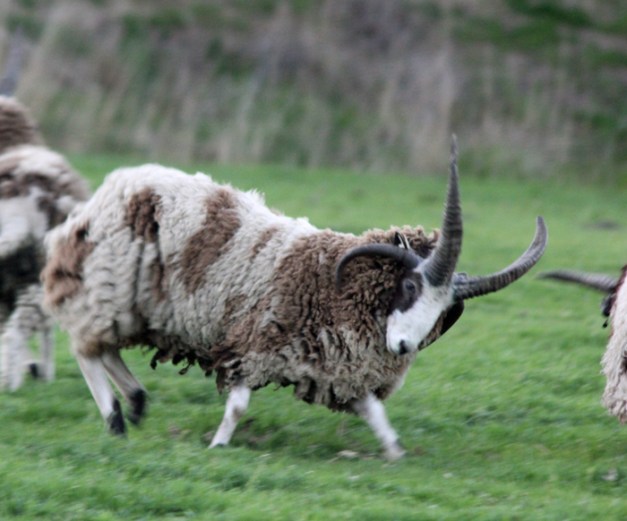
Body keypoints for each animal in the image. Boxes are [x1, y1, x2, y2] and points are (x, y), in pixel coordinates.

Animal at [0, 93, 90, 391]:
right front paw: (44, 372)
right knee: (15, 333)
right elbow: (48, 330)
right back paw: (13, 384)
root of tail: (20, 212)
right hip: (36, 275)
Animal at [42, 143, 547, 460]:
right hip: (107, 289)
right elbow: (239, 405)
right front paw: (219, 445)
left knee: (105, 349)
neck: (327, 281)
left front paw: (394, 451)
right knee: (88, 349)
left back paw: (135, 400)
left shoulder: (339, 369)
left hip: (135, 307)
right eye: (409, 288)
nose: (404, 347)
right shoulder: (252, 345)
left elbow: (374, 412)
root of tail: (112, 189)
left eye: (446, 313)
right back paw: (115, 418)